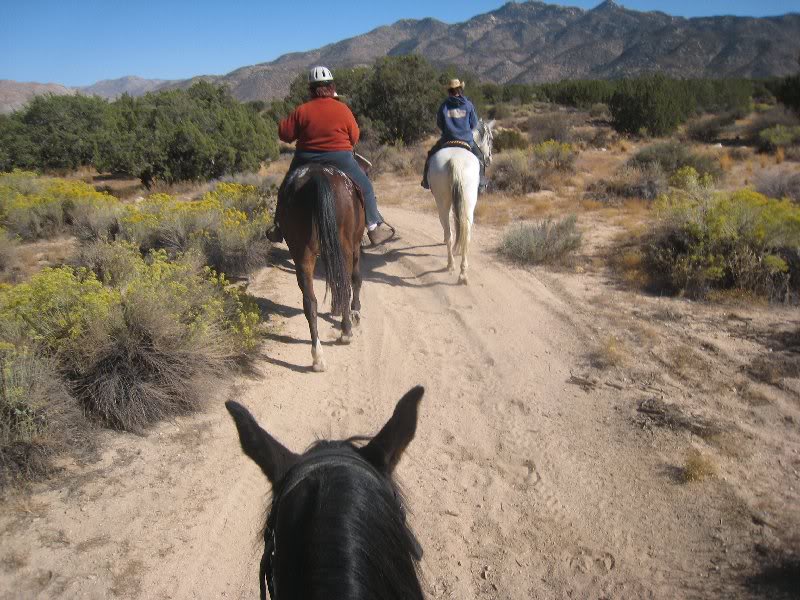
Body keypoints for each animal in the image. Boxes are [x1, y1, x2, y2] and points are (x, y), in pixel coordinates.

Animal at [278, 164, 366, 370]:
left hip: (301, 254)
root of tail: (315, 177)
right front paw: (355, 312)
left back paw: (317, 357)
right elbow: (356, 279)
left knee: (310, 302)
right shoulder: (356, 245)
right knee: (345, 286)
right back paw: (346, 332)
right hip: (344, 247)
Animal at [432, 120, 494, 284]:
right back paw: (460, 270)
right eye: (491, 139)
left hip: (445, 203)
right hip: (467, 202)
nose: (489, 159)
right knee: (463, 232)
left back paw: (454, 266)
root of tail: (455, 160)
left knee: (450, 231)